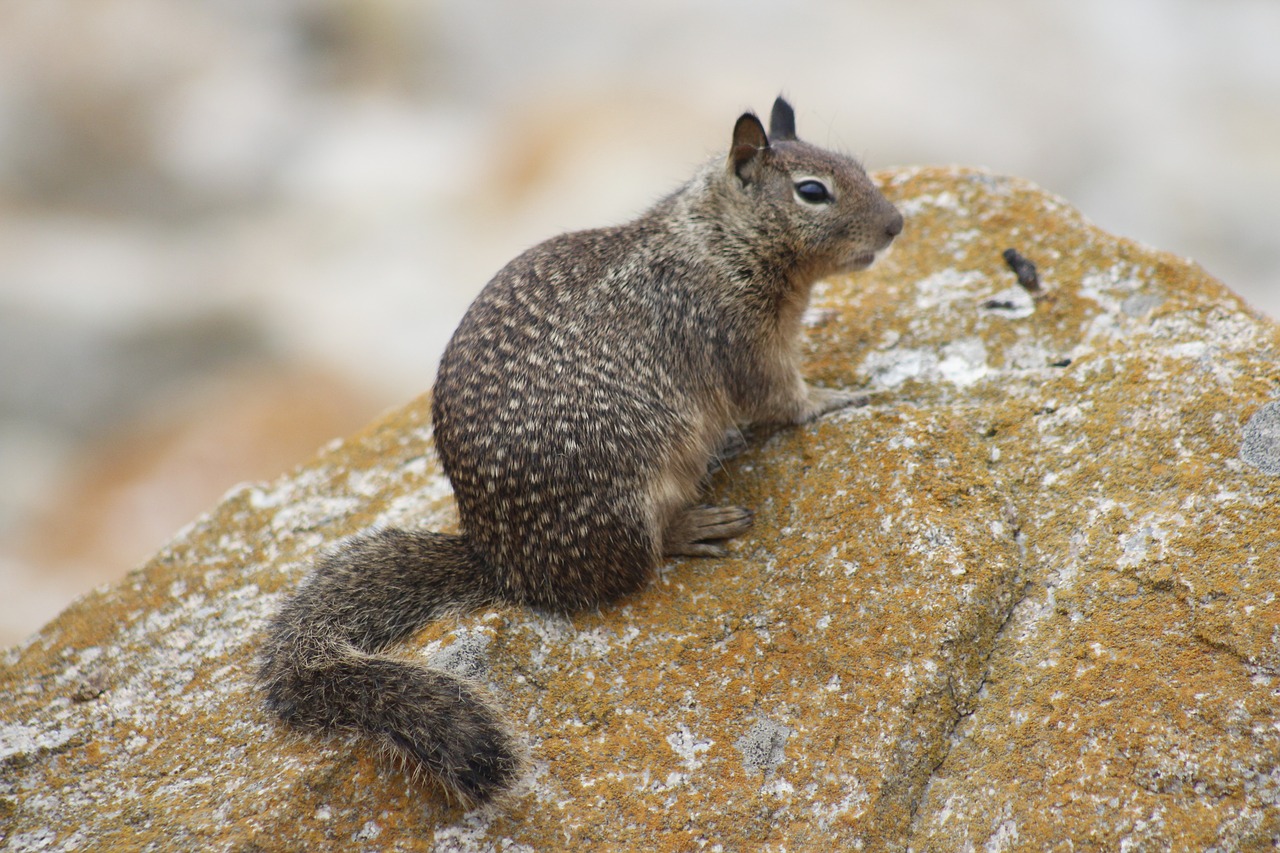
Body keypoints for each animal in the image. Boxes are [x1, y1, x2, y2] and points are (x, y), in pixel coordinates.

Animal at [257, 97, 901, 804]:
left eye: (856, 166)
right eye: (813, 191)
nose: (897, 224)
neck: (716, 240)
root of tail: (501, 564)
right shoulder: (741, 341)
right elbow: (785, 397)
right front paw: (843, 396)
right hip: (630, 496)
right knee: (638, 562)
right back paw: (697, 524)